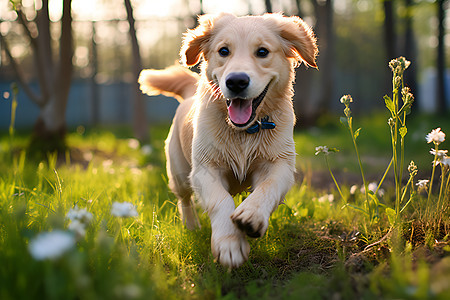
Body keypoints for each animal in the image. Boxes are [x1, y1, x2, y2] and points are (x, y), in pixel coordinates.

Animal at [139, 12, 318, 268]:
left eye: (262, 51)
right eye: (224, 51)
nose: (236, 81)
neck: (244, 132)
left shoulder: (280, 164)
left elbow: (267, 188)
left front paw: (251, 215)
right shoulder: (205, 169)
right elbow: (221, 200)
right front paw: (229, 244)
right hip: (179, 172)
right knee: (184, 199)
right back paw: (192, 226)